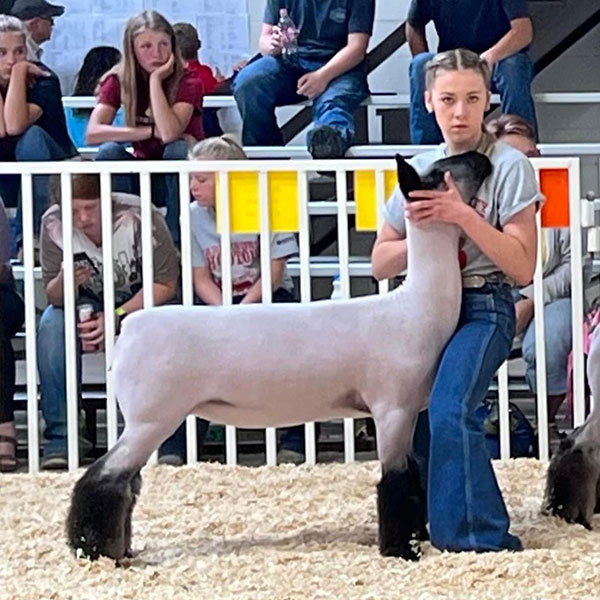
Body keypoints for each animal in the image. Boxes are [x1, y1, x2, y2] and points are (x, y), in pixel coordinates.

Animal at [68, 150, 492, 564]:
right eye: (438, 173)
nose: (482, 159)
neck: (416, 305)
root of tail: (127, 332)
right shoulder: (391, 408)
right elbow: (396, 482)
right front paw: (402, 550)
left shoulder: (407, 412)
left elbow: (414, 476)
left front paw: (418, 539)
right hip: (151, 417)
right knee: (103, 479)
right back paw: (91, 550)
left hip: (146, 420)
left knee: (126, 484)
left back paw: (119, 550)